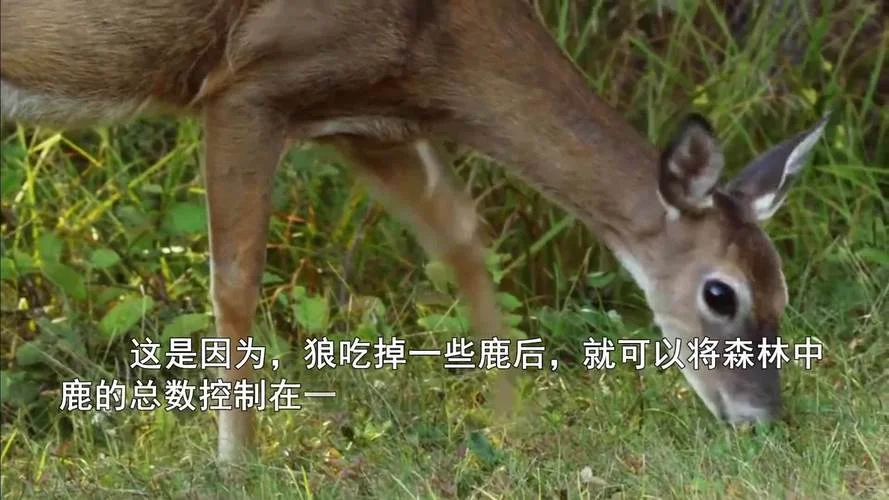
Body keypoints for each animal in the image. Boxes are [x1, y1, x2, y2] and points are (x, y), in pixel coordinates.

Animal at [1, 0, 828, 464]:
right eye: (719, 294)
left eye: (784, 291)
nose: (760, 420)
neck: (438, 41)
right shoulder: (247, 87)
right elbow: (234, 281)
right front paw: (236, 465)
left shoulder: (364, 122)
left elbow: (462, 236)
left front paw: (511, 427)